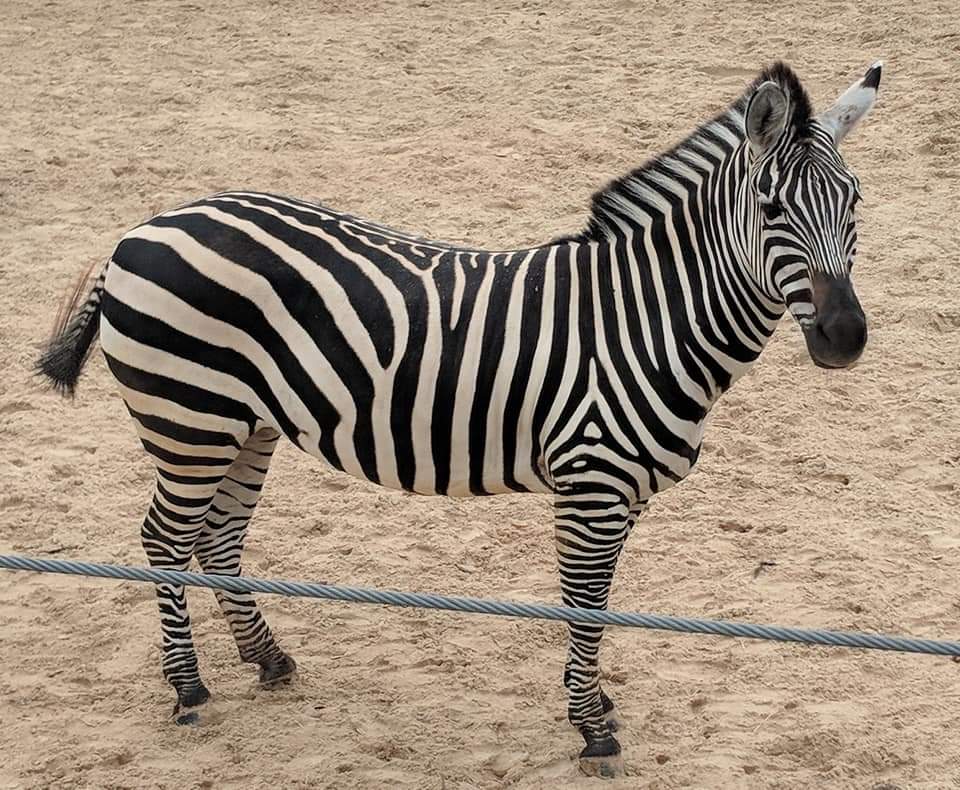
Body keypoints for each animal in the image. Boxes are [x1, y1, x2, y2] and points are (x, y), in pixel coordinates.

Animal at [36, 61, 881, 777]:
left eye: (855, 203)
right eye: (772, 210)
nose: (846, 338)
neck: (645, 320)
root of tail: (146, 227)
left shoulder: (625, 493)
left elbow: (598, 609)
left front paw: (593, 699)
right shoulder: (593, 486)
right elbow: (585, 605)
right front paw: (592, 729)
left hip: (248, 423)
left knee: (216, 538)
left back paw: (267, 659)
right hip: (190, 418)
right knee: (163, 540)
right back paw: (186, 688)